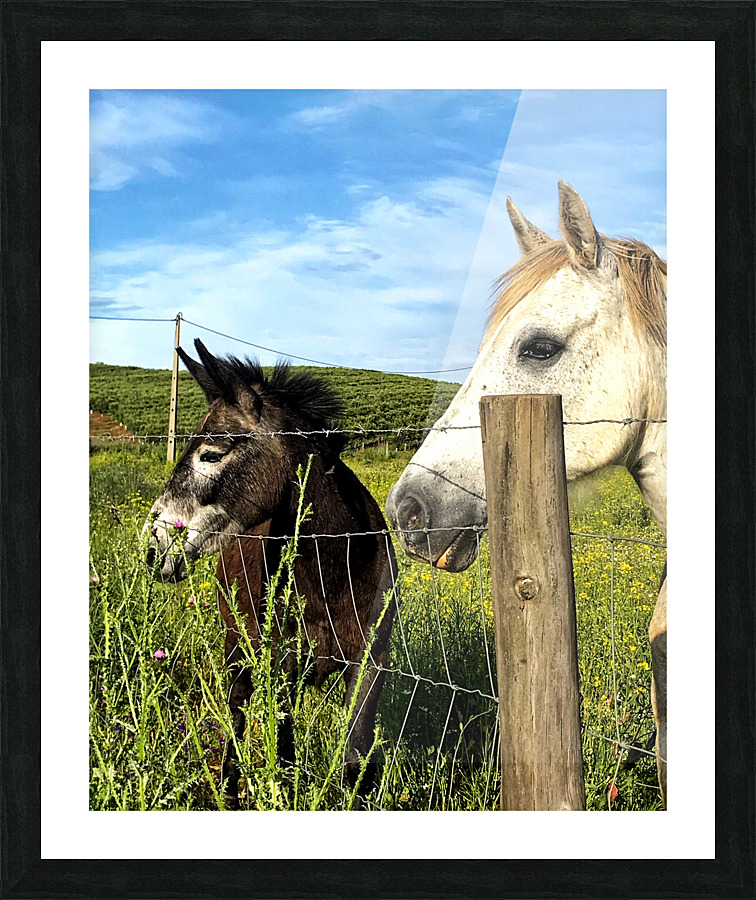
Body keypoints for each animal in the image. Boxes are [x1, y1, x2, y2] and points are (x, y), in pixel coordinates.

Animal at [145, 339, 397, 807]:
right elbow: (284, 754)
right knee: (236, 714)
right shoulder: (280, 670)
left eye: (212, 454)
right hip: (237, 649)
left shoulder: (369, 665)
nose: (153, 549)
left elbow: (354, 763)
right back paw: (229, 789)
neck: (334, 572)